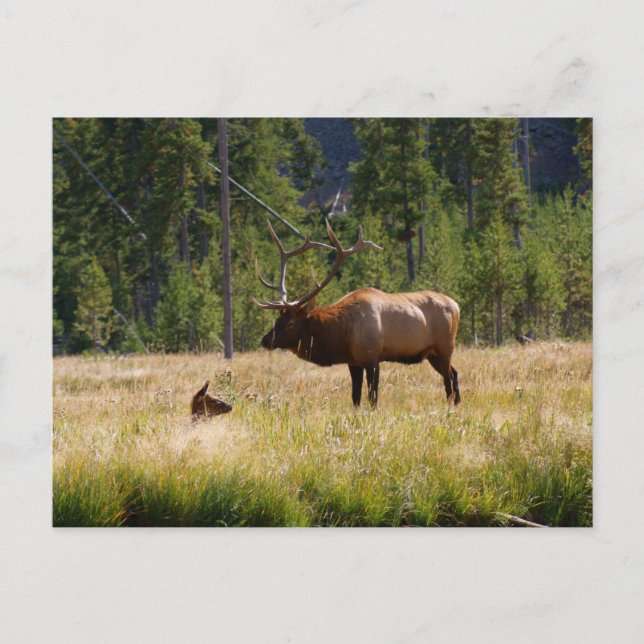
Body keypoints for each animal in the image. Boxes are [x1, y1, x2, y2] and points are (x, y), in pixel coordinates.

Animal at [254, 220, 461, 408]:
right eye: (277, 319)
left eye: (290, 323)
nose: (265, 340)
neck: (342, 335)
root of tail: (456, 305)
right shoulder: (353, 362)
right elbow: (355, 398)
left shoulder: (372, 357)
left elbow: (372, 398)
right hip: (432, 353)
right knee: (454, 373)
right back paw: (457, 404)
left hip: (445, 346)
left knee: (448, 379)